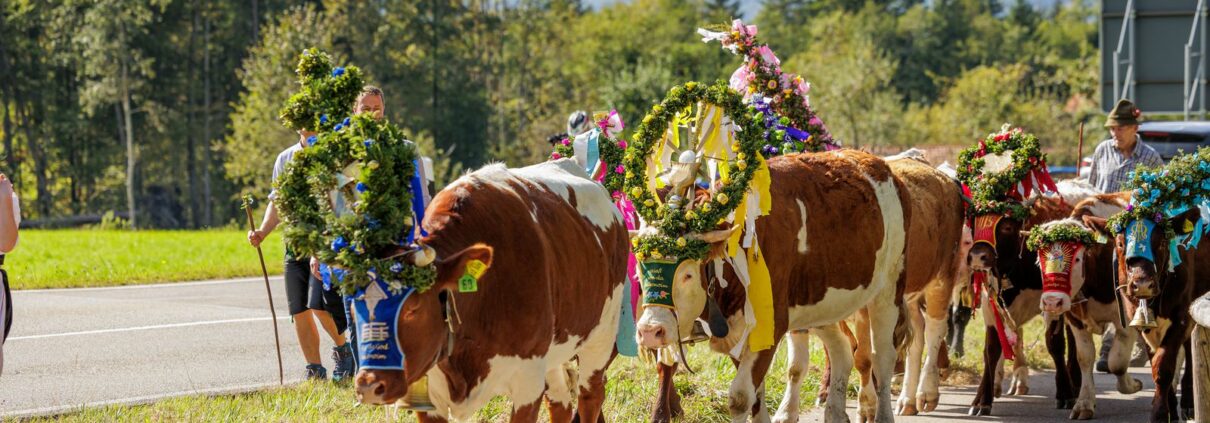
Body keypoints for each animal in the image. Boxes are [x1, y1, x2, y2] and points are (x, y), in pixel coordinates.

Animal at [353, 159, 634, 423]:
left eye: (414, 307)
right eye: (354, 305)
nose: (369, 385)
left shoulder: (527, 380)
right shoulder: (428, 395)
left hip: (601, 336)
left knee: (591, 396)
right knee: (560, 404)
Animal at [634, 150, 909, 423]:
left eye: (688, 274)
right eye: (641, 266)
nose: (650, 331)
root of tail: (877, 163)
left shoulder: (771, 323)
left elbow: (740, 397)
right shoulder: (739, 332)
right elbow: (756, 395)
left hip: (888, 292)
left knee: (882, 357)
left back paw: (883, 414)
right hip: (822, 303)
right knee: (842, 348)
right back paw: (835, 413)